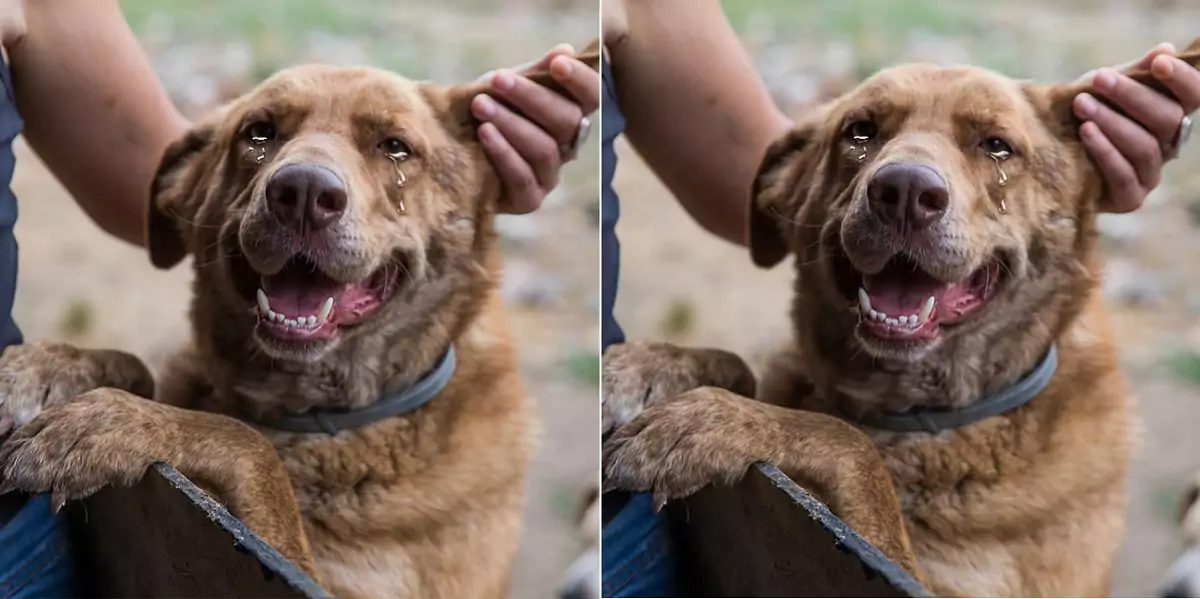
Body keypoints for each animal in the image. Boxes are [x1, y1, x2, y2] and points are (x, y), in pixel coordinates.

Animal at [0, 43, 600, 599]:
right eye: (259, 132)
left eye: (395, 146)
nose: (304, 193)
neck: (315, 419)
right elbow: (143, 369)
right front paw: (48, 367)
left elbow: (244, 443)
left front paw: (116, 422)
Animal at [604, 39, 1200, 597]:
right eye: (861, 131)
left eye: (996, 145)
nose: (906, 192)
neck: (916, 417)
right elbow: (748, 370)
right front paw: (656, 365)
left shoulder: (910, 577)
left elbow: (848, 442)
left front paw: (716, 421)